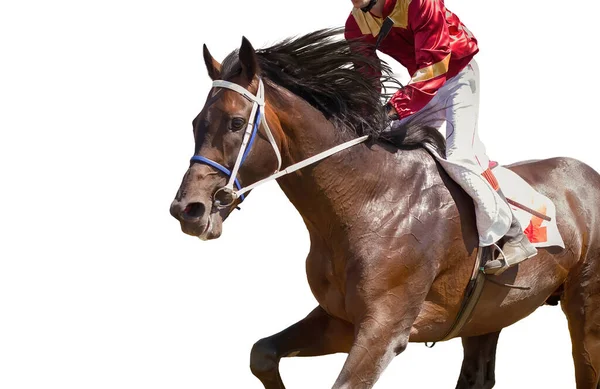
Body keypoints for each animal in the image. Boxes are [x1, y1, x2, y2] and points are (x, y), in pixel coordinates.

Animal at [168, 28, 600, 386]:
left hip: (585, 305)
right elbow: (262, 353)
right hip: (488, 315)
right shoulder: (340, 319)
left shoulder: (385, 328)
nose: (187, 210)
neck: (365, 200)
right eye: (195, 122)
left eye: (235, 123)